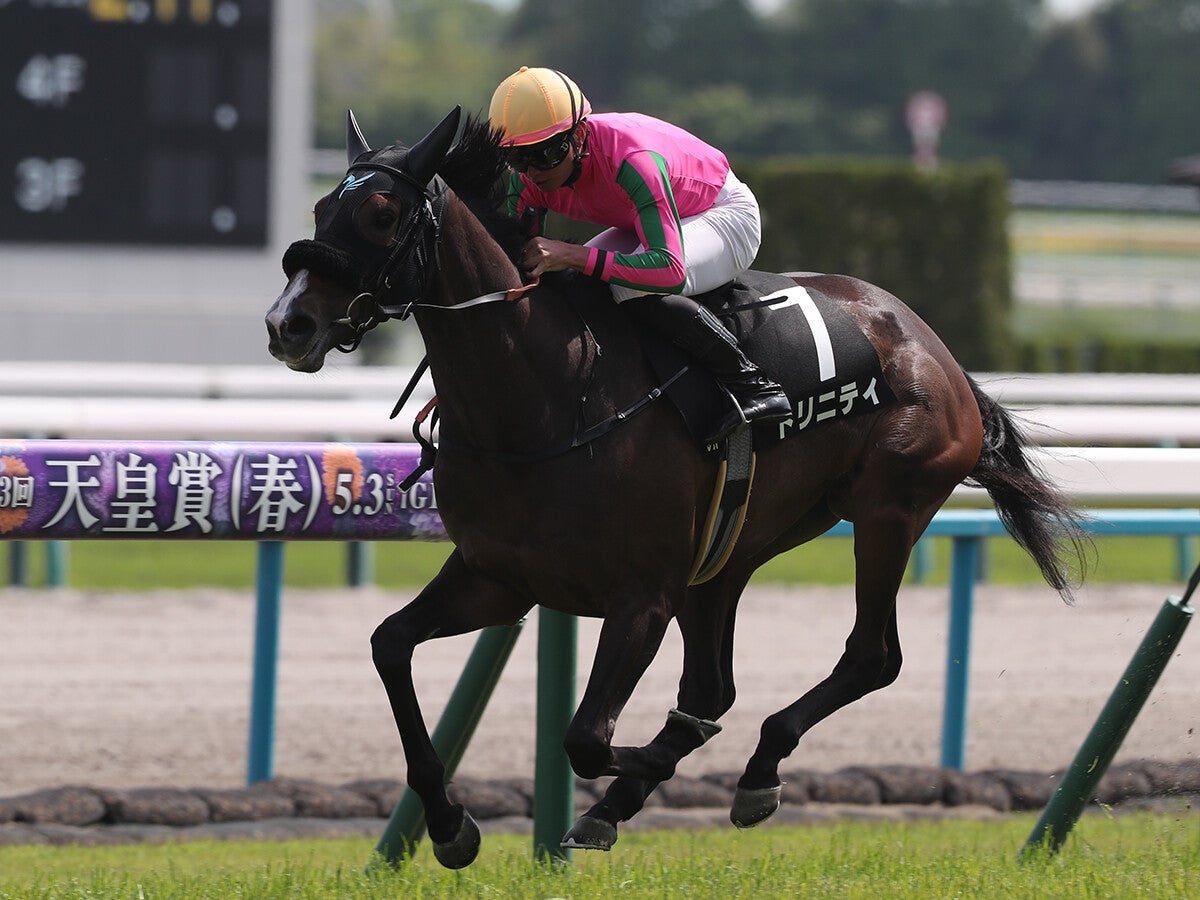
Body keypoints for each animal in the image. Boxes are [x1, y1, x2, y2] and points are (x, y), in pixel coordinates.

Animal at [265, 107, 1087, 868]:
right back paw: (637, 798)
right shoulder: (496, 577)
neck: (550, 394)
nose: (288, 324)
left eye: (382, 214)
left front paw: (640, 773)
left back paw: (753, 770)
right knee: (711, 688)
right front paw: (449, 826)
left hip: (888, 511)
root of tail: (930, 346)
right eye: (321, 208)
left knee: (868, 657)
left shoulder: (643, 596)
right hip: (732, 550)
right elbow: (389, 646)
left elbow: (588, 739)